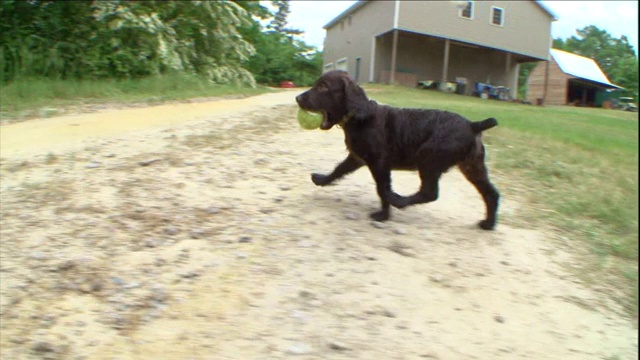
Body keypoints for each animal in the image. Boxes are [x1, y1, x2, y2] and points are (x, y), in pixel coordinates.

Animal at [296, 69, 500, 231]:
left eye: (323, 87)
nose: (297, 98)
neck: (361, 116)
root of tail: (473, 125)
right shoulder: (357, 157)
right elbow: (338, 169)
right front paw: (321, 179)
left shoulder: (379, 163)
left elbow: (381, 188)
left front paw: (383, 215)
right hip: (472, 166)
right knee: (491, 194)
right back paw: (488, 224)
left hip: (429, 158)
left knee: (429, 193)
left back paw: (398, 200)